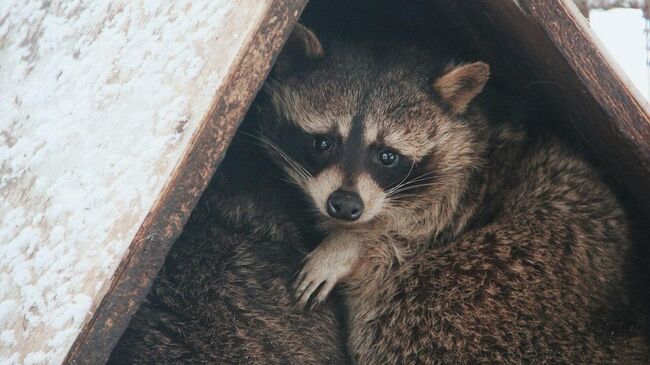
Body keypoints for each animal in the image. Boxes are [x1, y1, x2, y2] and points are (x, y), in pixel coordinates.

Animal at [256, 24, 644, 362]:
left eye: (387, 156)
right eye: (323, 142)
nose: (345, 205)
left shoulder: (472, 184)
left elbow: (409, 233)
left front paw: (350, 244)